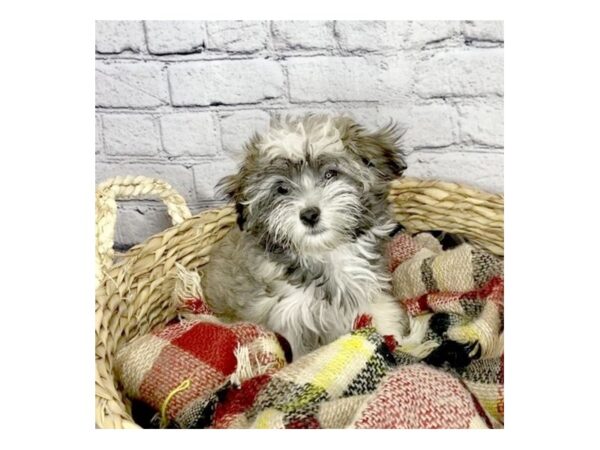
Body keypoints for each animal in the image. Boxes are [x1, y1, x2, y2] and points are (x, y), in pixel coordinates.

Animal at [204, 114, 410, 360]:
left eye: (330, 174)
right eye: (282, 189)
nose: (310, 215)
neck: (325, 253)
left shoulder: (369, 289)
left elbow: (383, 314)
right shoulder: (288, 316)